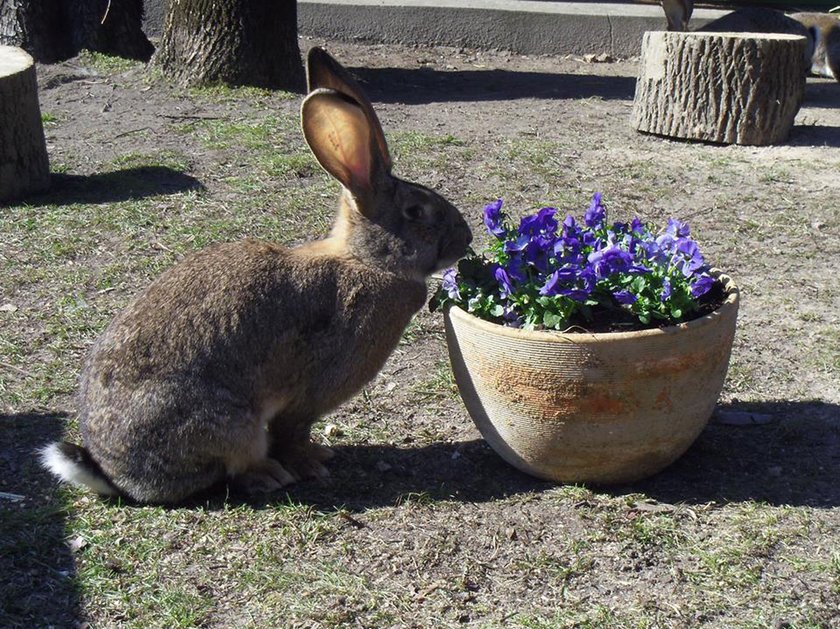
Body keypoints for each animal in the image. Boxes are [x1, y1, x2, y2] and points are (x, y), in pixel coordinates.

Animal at [41, 46, 472, 502]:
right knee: (233, 466)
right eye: (416, 212)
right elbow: (291, 432)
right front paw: (311, 463)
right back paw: (267, 474)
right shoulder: (312, 391)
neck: (365, 260)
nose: (465, 237)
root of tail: (116, 476)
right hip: (229, 422)